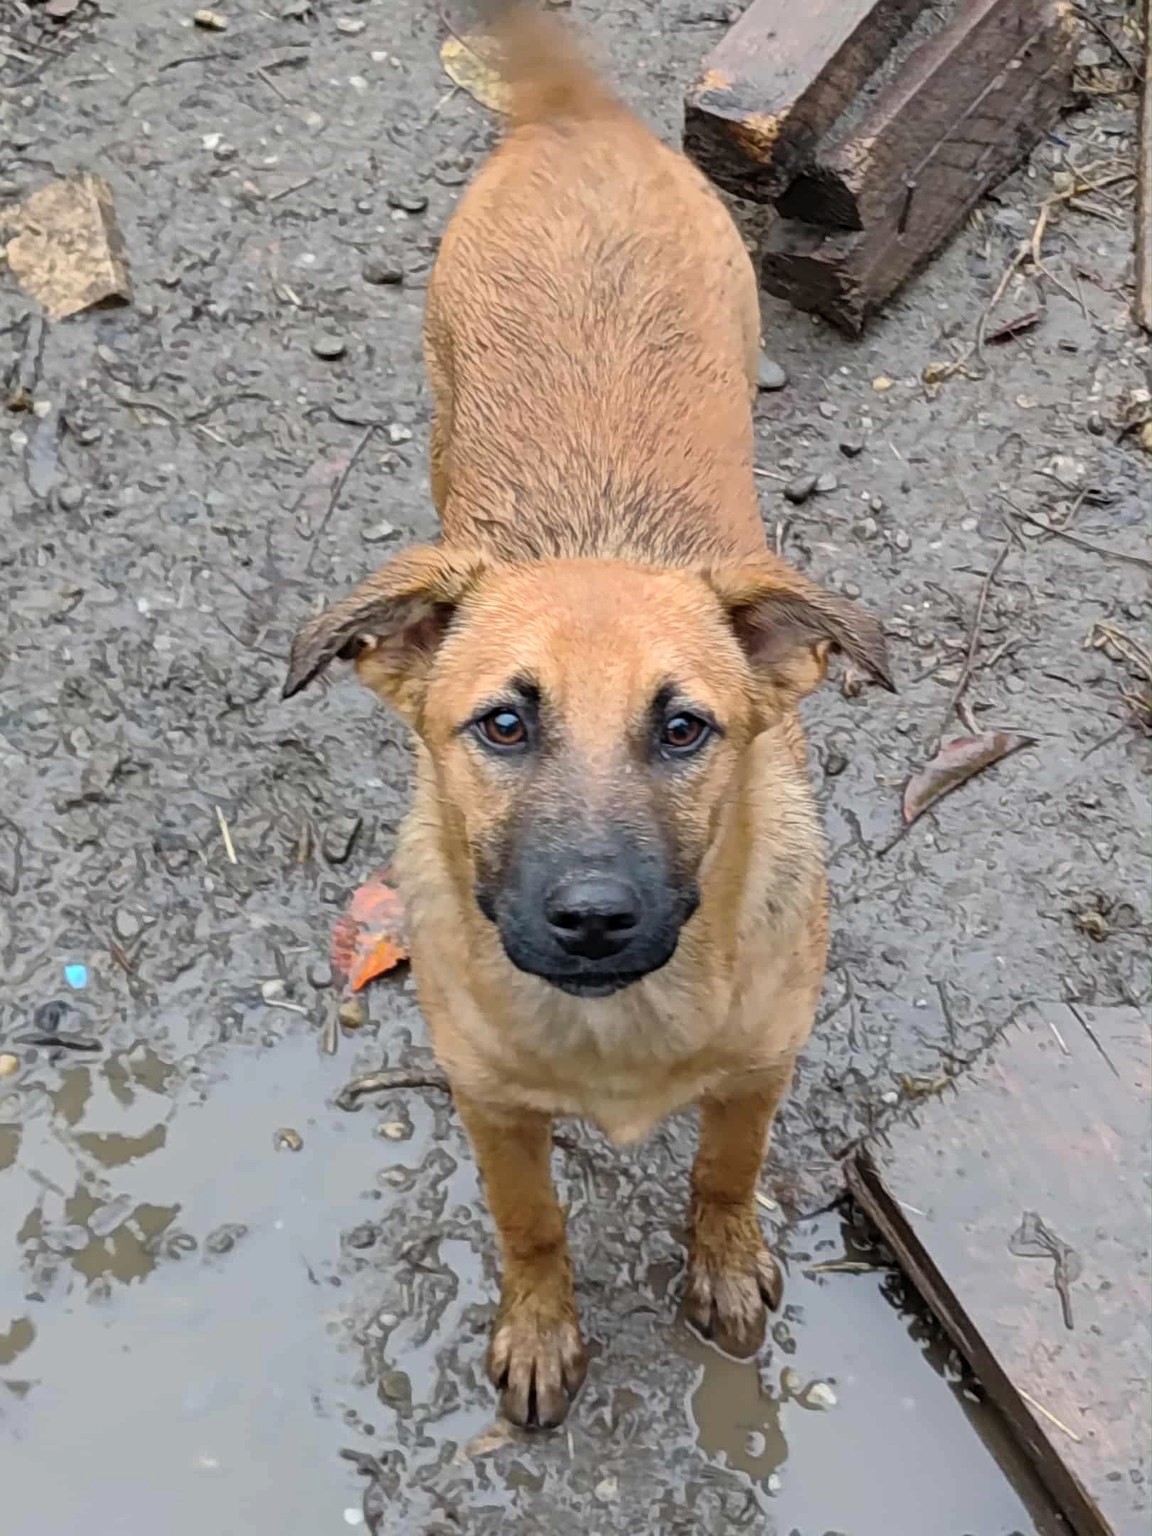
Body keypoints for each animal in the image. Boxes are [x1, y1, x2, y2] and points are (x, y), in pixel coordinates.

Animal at [284, 6, 892, 1429]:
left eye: (686, 730)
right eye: (502, 726)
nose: (596, 918)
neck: (620, 1027)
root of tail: (577, 117)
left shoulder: (761, 1069)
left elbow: (726, 1172)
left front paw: (721, 1262)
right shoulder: (489, 1105)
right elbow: (531, 1224)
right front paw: (541, 1328)